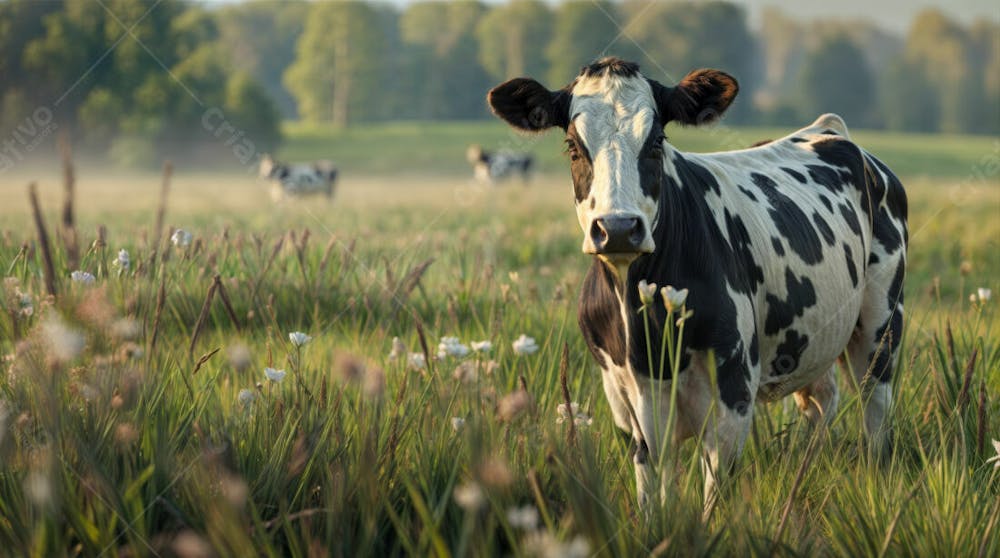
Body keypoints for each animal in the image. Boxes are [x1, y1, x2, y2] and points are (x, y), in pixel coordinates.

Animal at [486, 59, 908, 520]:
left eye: (657, 141)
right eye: (572, 146)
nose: (618, 228)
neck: (643, 336)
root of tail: (826, 132)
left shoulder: (734, 386)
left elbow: (715, 491)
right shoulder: (624, 398)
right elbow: (652, 483)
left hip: (882, 324)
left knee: (875, 409)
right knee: (821, 401)